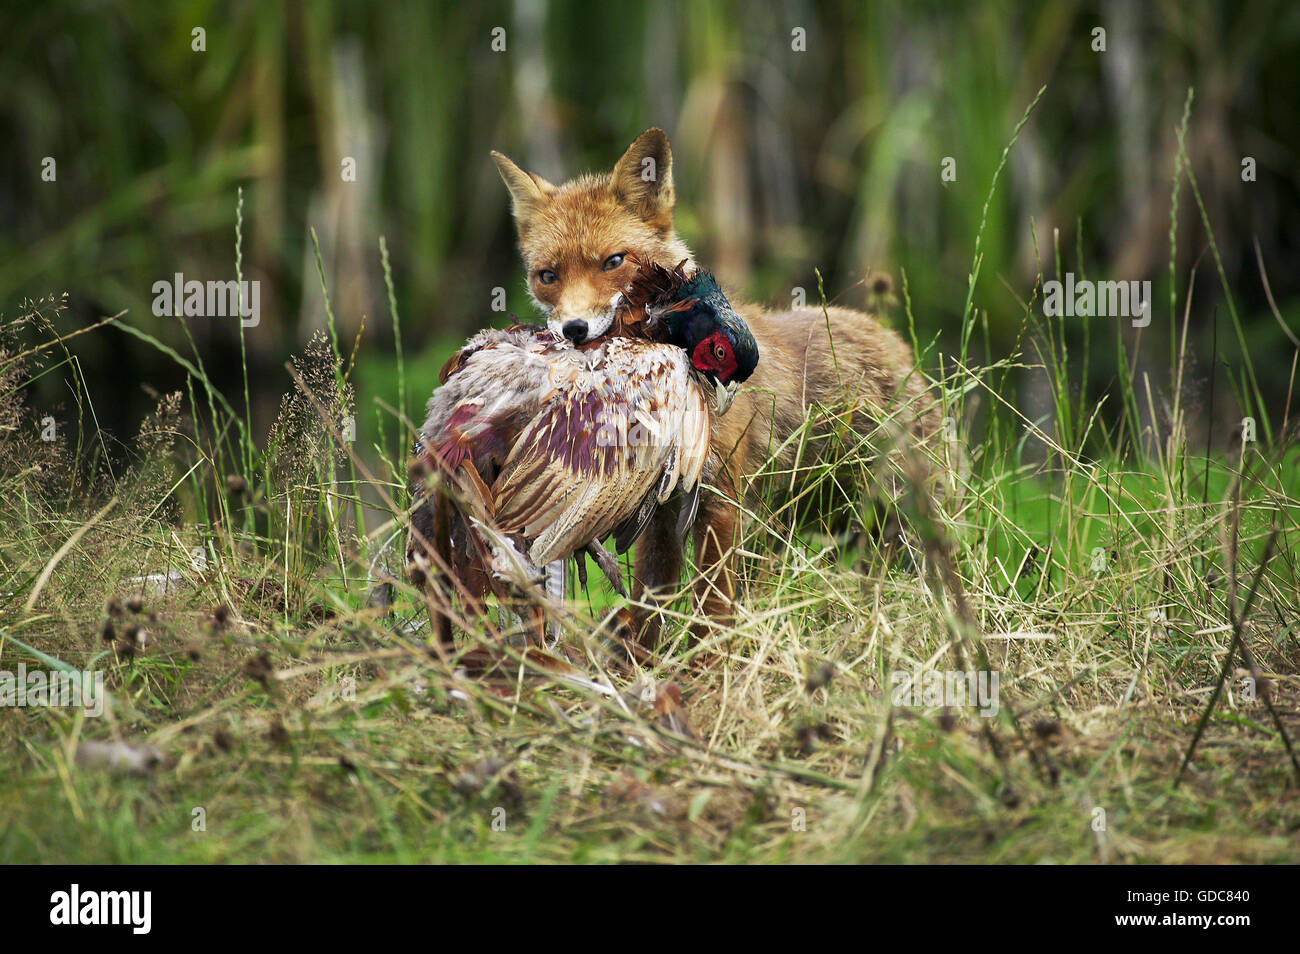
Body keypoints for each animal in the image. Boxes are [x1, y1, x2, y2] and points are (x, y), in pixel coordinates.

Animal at [491, 128, 941, 649]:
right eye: (548, 276)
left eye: (613, 262)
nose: (574, 330)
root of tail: (896, 343)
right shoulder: (660, 512)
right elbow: (649, 603)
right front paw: (644, 662)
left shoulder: (721, 499)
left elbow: (714, 605)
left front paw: (710, 662)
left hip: (896, 517)